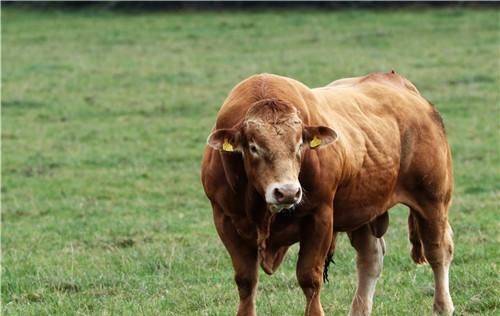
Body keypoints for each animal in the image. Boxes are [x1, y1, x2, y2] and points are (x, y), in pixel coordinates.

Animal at [201, 71, 456, 316]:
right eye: (253, 147)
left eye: (299, 145)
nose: (287, 192)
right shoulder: (224, 220)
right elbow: (246, 280)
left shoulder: (320, 217)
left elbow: (309, 278)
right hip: (362, 210)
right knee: (371, 258)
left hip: (432, 199)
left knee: (438, 251)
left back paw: (442, 306)